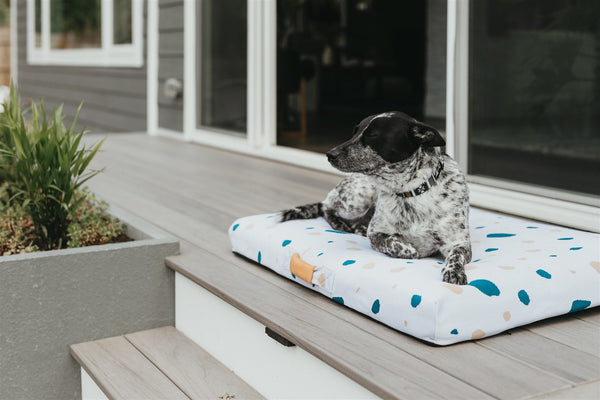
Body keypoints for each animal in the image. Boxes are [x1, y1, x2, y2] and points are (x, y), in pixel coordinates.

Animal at [278, 111, 472, 284]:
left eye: (372, 135)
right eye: (354, 132)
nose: (329, 154)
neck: (411, 191)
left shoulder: (459, 242)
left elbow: (455, 256)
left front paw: (454, 271)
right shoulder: (376, 233)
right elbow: (406, 248)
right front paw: (413, 249)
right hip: (357, 200)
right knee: (327, 207)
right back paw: (344, 225)